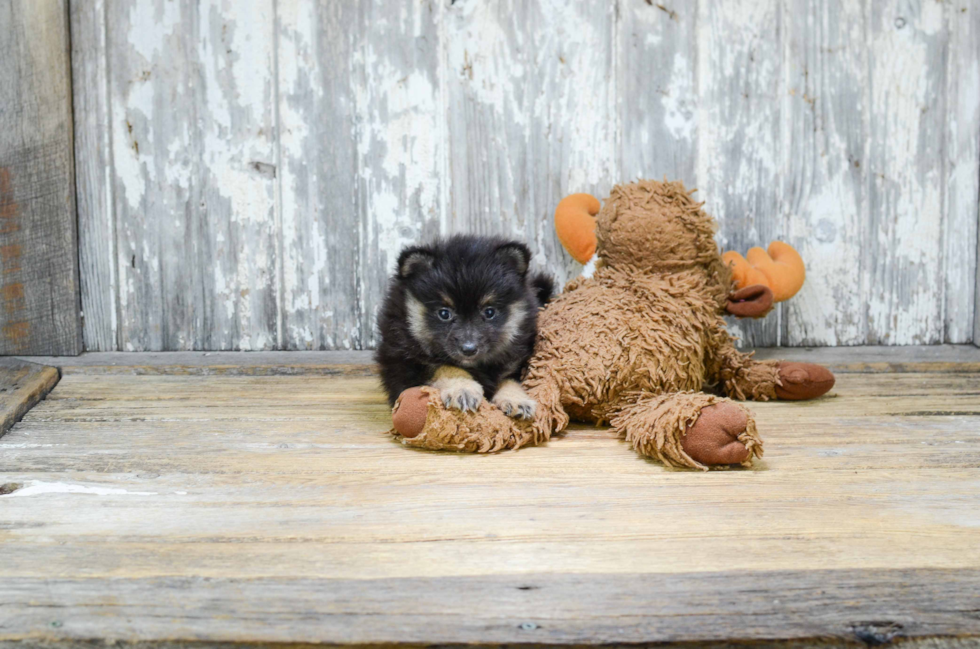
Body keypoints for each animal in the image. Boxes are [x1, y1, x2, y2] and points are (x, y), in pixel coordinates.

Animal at [374, 235, 552, 418]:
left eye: (489, 312)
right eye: (444, 313)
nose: (469, 349)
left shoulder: (515, 363)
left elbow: (509, 380)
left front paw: (517, 399)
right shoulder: (405, 364)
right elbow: (445, 366)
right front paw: (462, 389)